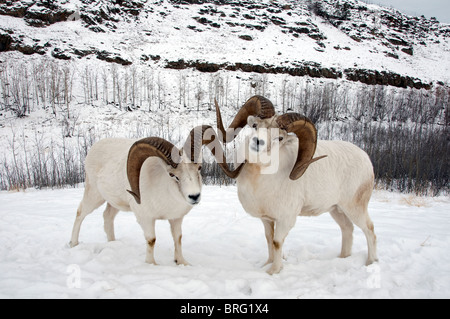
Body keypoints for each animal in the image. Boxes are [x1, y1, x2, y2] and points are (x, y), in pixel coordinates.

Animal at [69, 126, 239, 266]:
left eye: (199, 168)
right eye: (173, 175)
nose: (194, 196)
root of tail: (93, 149)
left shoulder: (176, 219)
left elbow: (178, 238)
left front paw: (181, 262)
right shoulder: (145, 219)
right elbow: (151, 240)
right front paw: (152, 264)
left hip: (114, 203)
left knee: (107, 217)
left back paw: (113, 243)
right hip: (94, 196)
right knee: (80, 213)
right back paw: (73, 244)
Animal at [216, 96, 378, 276]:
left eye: (279, 138)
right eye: (255, 125)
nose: (257, 142)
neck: (259, 179)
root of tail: (366, 160)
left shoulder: (285, 219)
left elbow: (277, 243)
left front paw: (273, 271)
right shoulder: (267, 219)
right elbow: (269, 240)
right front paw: (267, 264)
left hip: (354, 208)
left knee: (369, 230)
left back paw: (371, 262)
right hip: (336, 210)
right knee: (347, 229)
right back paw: (342, 257)